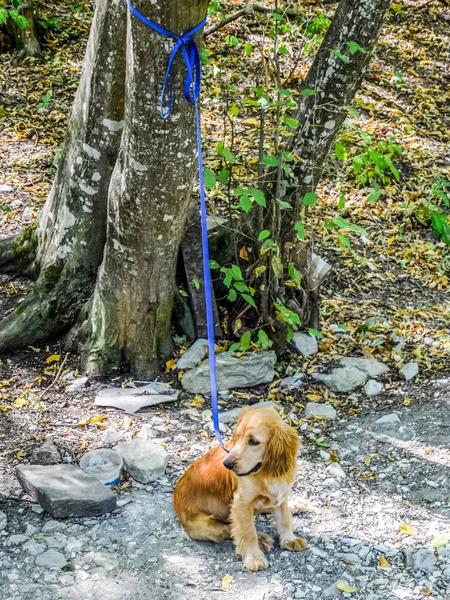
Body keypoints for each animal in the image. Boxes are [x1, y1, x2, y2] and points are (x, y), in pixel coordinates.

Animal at [173, 406, 310, 568]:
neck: (265, 472)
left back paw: (295, 506)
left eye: (253, 441)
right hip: (203, 525)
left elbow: (285, 518)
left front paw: (289, 539)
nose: (227, 464)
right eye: (237, 437)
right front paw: (254, 557)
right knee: (229, 529)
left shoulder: (281, 494)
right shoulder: (241, 504)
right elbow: (247, 531)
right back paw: (261, 538)